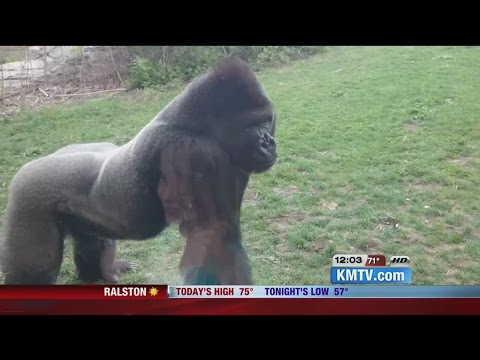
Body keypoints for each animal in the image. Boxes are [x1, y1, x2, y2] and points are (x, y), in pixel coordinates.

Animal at [0, 56, 278, 286]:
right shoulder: (195, 153)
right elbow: (214, 235)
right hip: (28, 197)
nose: (269, 143)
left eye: (267, 121)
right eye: (253, 125)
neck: (196, 122)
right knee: (34, 271)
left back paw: (103, 273)